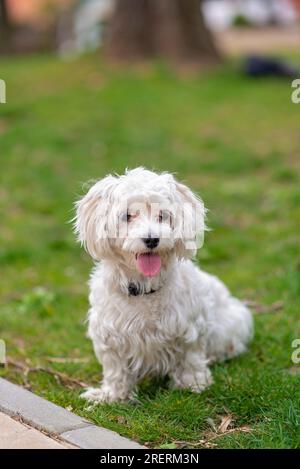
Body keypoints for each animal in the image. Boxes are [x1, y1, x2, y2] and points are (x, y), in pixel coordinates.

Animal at [74, 167, 252, 402]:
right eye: (128, 216)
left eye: (162, 215)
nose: (152, 239)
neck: (144, 288)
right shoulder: (110, 336)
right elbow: (116, 369)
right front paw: (112, 395)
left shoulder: (190, 330)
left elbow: (190, 359)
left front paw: (193, 385)